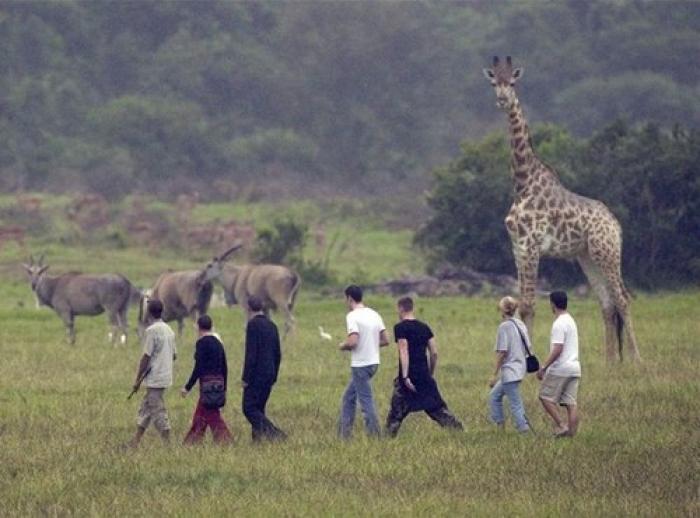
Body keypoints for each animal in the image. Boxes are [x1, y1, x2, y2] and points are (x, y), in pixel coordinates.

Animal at [482, 57, 640, 364]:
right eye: (493, 81)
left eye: (513, 82)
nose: (503, 99)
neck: (522, 183)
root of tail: (616, 225)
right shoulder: (517, 247)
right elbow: (521, 303)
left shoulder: (531, 246)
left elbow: (529, 304)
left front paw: (529, 359)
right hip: (587, 256)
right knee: (607, 303)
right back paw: (609, 363)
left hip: (607, 252)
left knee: (623, 298)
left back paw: (637, 360)